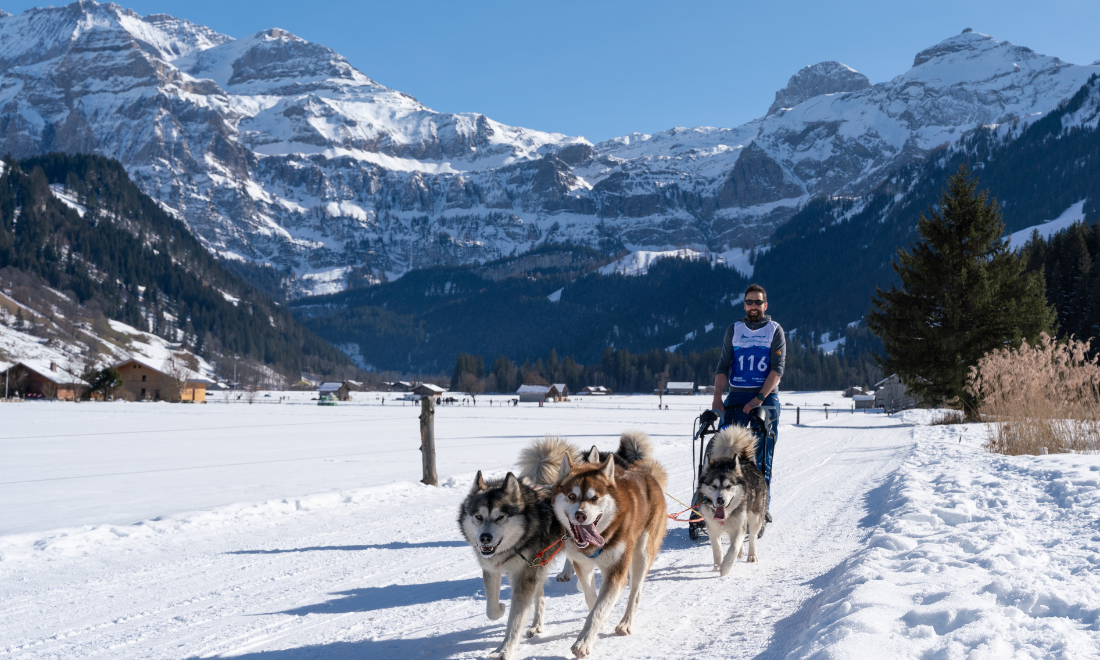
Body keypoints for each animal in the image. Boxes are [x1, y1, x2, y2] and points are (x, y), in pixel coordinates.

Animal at [457, 471, 563, 660]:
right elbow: (491, 611)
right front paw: (501, 608)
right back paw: (536, 625)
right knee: (540, 597)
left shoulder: (523, 577)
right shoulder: (492, 570)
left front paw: (504, 650)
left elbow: (515, 620)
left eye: (500, 517)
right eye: (478, 517)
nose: (485, 538)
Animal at [551, 430, 668, 658]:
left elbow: (599, 609)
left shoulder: (616, 571)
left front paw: (583, 642)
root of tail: (645, 473)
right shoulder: (582, 565)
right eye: (572, 496)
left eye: (595, 498)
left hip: (641, 554)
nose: (580, 515)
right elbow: (591, 597)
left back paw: (626, 623)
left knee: (636, 592)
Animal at [695, 425, 768, 576]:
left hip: (755, 517)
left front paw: (725, 567)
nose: (720, 500)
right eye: (714, 486)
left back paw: (751, 555)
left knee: (752, 536)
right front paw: (718, 565)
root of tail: (745, 461)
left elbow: (734, 547)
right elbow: (717, 548)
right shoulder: (712, 527)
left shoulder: (740, 525)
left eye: (728, 486)